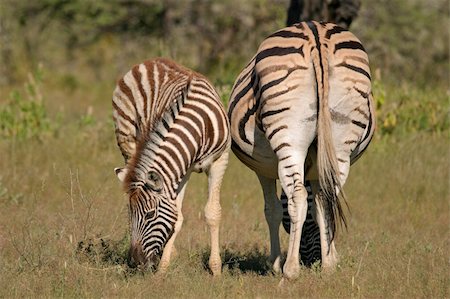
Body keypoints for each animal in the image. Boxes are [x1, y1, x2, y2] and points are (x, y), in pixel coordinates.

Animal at [112, 57, 232, 276]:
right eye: (130, 214)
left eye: (150, 214)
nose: (134, 262)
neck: (198, 126)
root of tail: (152, 60)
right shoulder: (180, 170)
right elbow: (176, 216)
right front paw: (163, 267)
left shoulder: (220, 160)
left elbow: (212, 213)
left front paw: (216, 269)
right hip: (127, 139)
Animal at [227, 21, 374, 282]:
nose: (312, 261)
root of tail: (315, 32)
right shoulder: (318, 168)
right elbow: (319, 206)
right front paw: (331, 258)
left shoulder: (262, 169)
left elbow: (273, 209)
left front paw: (275, 263)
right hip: (341, 139)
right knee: (329, 196)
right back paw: (327, 266)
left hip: (289, 135)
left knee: (297, 196)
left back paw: (291, 269)